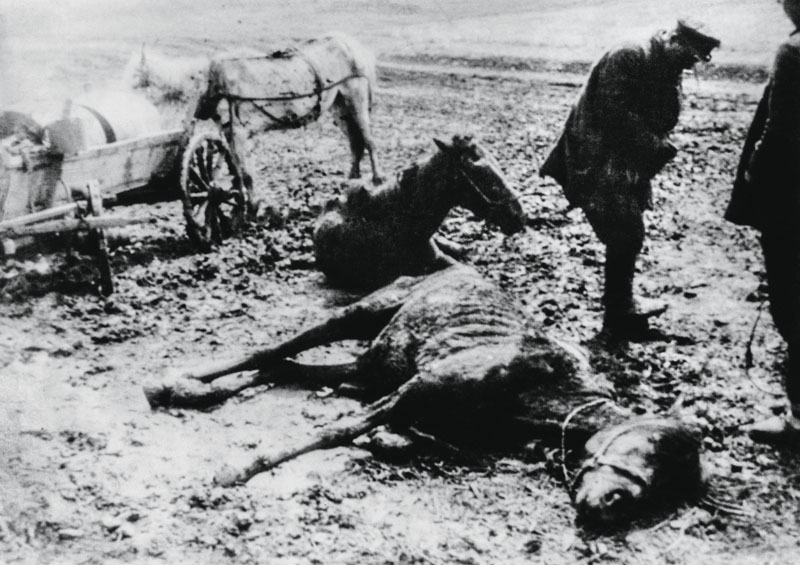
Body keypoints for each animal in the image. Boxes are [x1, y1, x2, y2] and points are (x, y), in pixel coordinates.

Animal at [145, 264, 708, 524]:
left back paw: (196, 389)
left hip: (372, 361)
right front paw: (238, 470)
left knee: (286, 367)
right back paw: (177, 382)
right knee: (275, 348)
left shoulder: (412, 401)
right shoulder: (415, 389)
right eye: (654, 443)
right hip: (360, 314)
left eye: (672, 489)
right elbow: (337, 431)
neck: (541, 387)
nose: (613, 502)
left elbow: (421, 439)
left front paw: (395, 441)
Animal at [192, 33, 382, 192]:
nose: (200, 112)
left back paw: (377, 178)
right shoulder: (229, 133)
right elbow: (236, 169)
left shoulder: (239, 133)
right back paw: (352, 179)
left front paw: (252, 208)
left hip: (356, 102)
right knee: (355, 143)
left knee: (369, 141)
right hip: (341, 108)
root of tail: (350, 43)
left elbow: (247, 175)